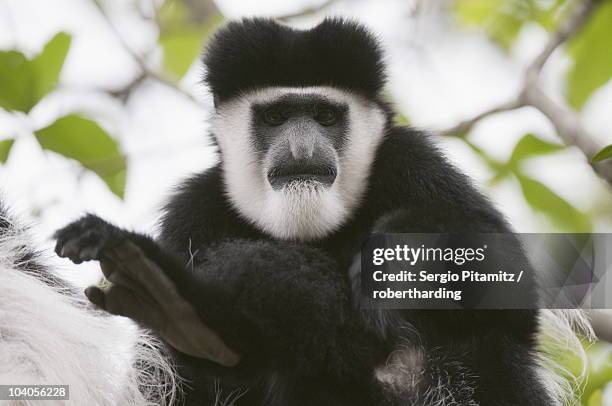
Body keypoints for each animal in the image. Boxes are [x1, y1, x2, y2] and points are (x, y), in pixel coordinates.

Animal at [53, 17, 560, 404]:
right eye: (276, 117)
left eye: (325, 116)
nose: (302, 149)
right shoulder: (192, 212)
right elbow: (168, 380)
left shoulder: (415, 163)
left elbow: (511, 292)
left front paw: (395, 256)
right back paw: (184, 310)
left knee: (487, 347)